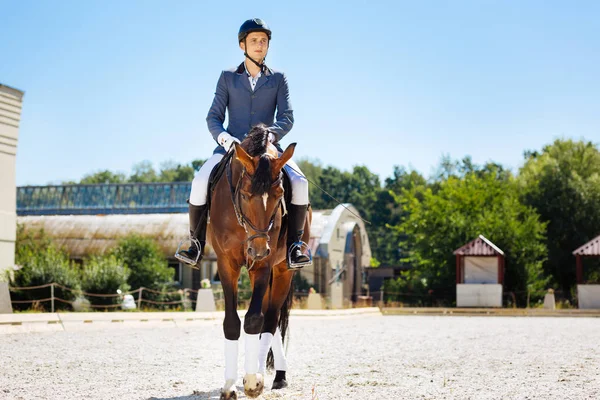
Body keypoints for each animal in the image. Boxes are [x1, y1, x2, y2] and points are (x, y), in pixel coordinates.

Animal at [207, 126, 312, 400]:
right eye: (245, 195)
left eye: (280, 195)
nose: (258, 250)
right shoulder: (226, 264)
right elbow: (231, 322)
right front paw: (229, 385)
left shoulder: (264, 267)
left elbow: (255, 319)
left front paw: (253, 381)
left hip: (283, 270)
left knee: (271, 320)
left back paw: (274, 376)